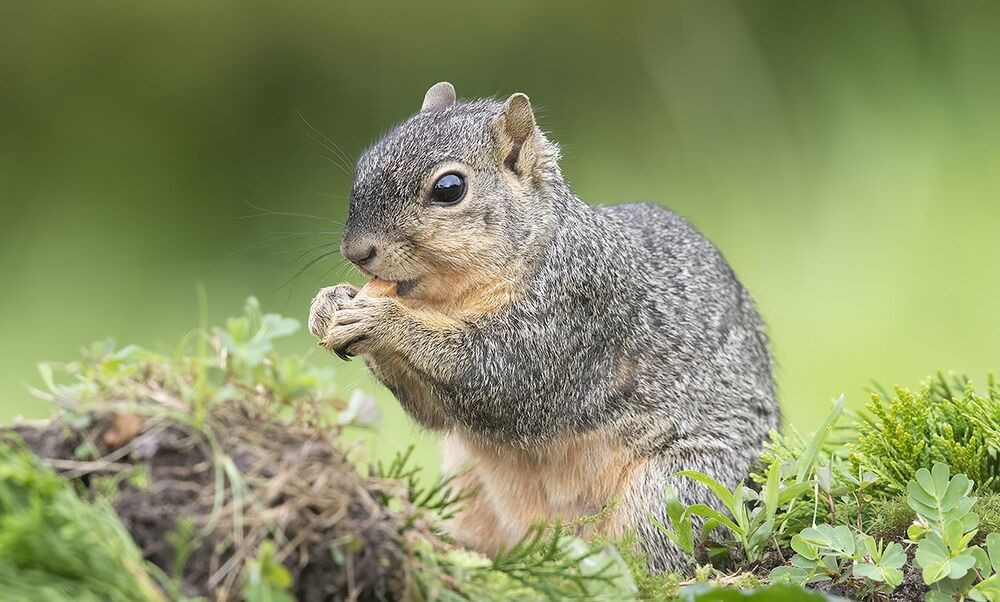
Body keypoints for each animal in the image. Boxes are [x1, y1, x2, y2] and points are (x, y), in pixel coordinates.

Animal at [308, 82, 779, 571]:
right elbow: (435, 412)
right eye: (364, 164)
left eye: (449, 188)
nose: (356, 251)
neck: (450, 299)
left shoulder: (576, 314)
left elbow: (499, 376)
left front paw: (382, 318)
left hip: (678, 490)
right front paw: (327, 303)